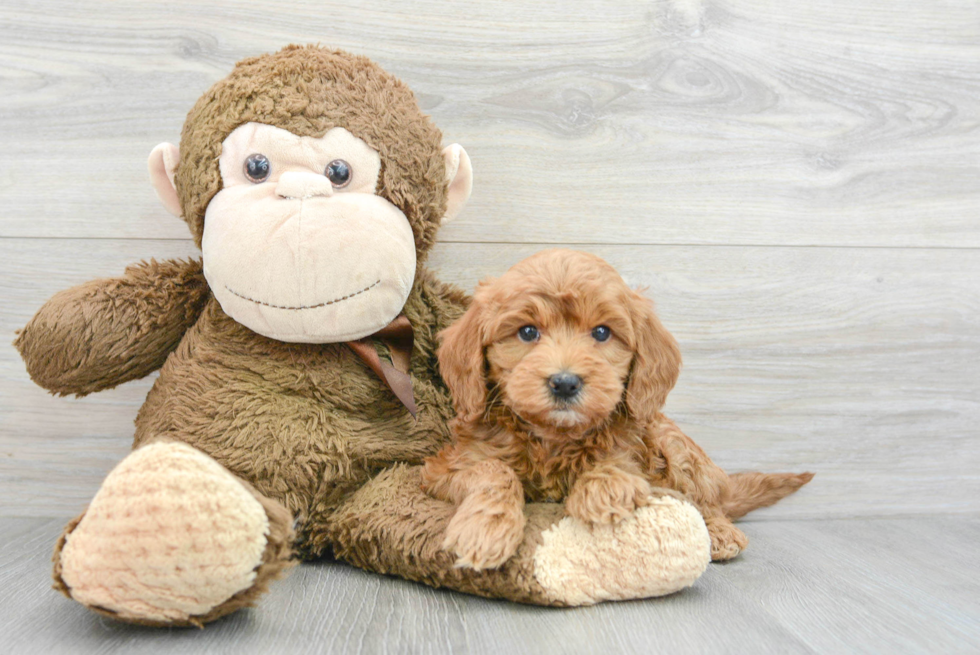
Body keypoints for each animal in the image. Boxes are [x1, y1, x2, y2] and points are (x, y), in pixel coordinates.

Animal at [424, 249, 816, 572]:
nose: (564, 382)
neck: (553, 439)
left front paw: (604, 491)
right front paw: (485, 529)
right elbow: (492, 470)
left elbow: (616, 459)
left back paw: (720, 532)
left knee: (705, 498)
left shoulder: (636, 446)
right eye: (527, 332)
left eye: (601, 332)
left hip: (675, 445)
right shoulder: (446, 467)